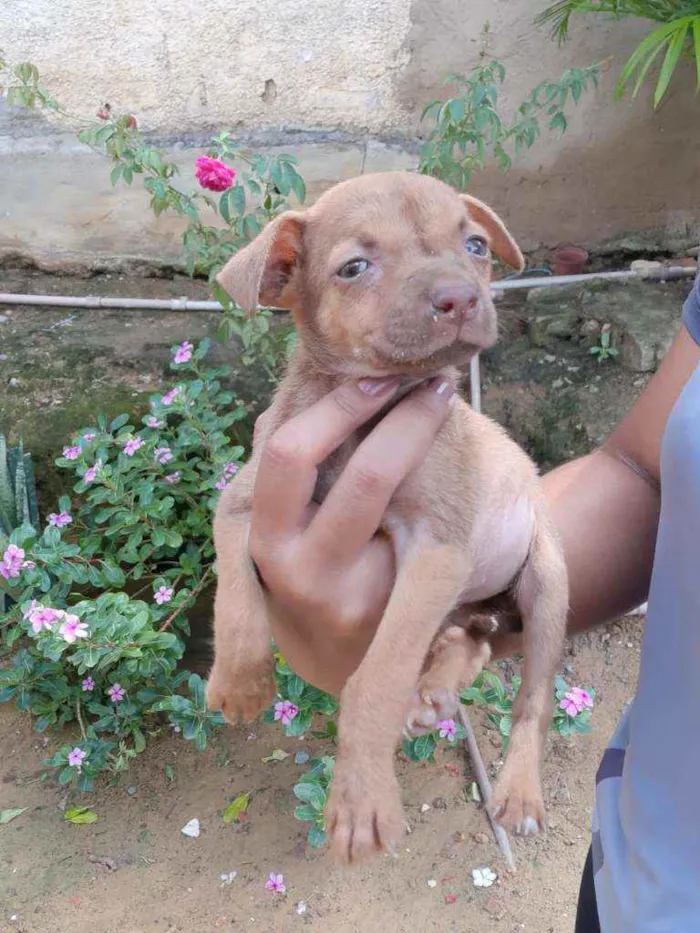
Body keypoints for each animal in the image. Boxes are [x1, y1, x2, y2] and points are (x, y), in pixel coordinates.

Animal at [205, 171, 568, 864]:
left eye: (476, 247)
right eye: (354, 267)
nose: (460, 297)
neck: (369, 415)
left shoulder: (436, 550)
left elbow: (376, 676)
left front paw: (361, 802)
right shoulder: (241, 500)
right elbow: (234, 598)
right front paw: (239, 684)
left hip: (546, 580)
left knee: (531, 699)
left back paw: (518, 791)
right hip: (471, 602)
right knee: (473, 639)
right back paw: (437, 683)